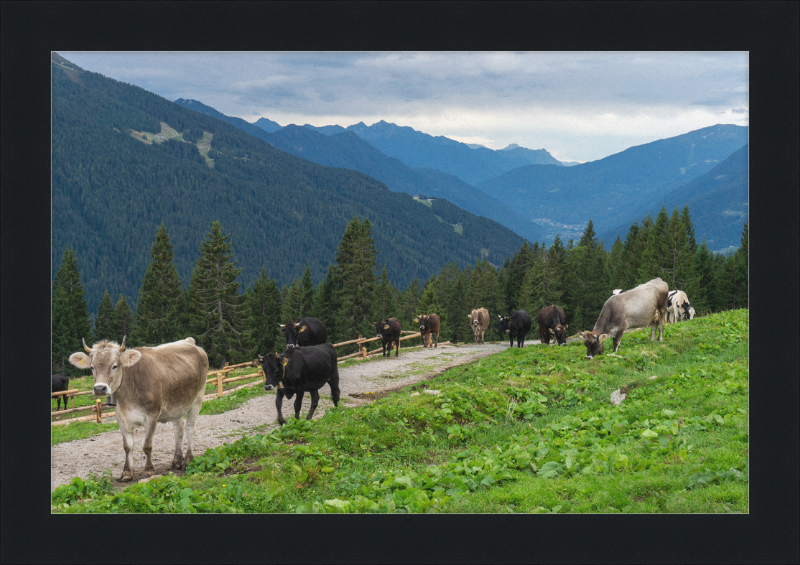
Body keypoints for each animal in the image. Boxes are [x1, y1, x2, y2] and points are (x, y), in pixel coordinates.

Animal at [68, 334, 208, 480]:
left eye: (114, 366)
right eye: (92, 367)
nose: (100, 388)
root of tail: (189, 341)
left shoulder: (152, 416)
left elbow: (147, 445)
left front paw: (149, 470)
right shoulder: (121, 417)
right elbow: (127, 446)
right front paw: (127, 472)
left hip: (198, 397)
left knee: (190, 428)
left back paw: (188, 461)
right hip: (176, 405)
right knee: (178, 429)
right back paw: (176, 462)